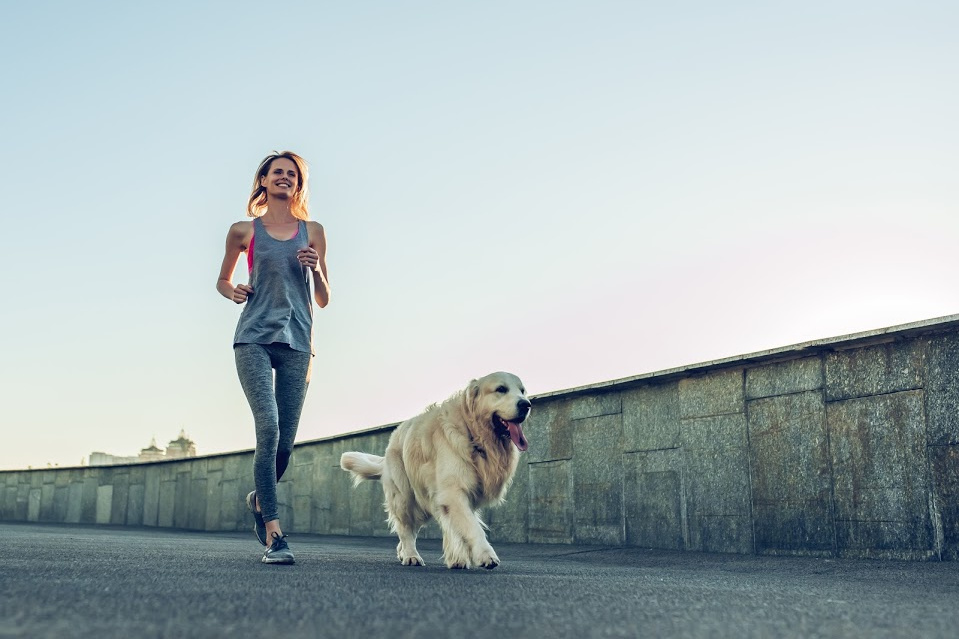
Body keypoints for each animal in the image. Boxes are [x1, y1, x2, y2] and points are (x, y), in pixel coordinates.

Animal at [340, 370, 532, 568]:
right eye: (501, 389)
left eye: (522, 391)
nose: (526, 404)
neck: (473, 433)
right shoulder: (453, 492)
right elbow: (473, 527)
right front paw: (486, 555)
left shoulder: (458, 496)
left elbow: (459, 527)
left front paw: (458, 559)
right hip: (405, 497)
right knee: (405, 528)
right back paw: (411, 555)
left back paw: (404, 552)